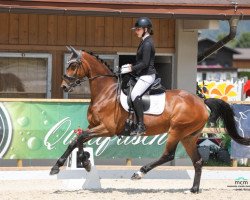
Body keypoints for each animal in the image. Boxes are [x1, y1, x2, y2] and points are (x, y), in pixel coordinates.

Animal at [49, 46, 250, 193]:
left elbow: (80, 138)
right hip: (189, 136)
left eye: (73, 65)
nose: (64, 86)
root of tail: (201, 102)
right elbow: (76, 140)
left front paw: (78, 163)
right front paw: (74, 163)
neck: (105, 92)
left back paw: (139, 173)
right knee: (198, 161)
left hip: (177, 131)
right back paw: (193, 189)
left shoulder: (107, 128)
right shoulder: (94, 125)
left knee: (168, 155)